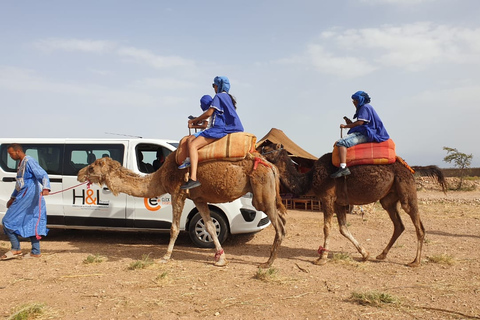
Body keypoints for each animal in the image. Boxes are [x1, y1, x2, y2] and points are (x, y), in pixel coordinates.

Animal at [75, 150, 284, 268]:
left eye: (92, 167)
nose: (79, 173)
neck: (160, 176)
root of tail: (271, 166)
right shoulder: (199, 198)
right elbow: (209, 227)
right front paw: (221, 259)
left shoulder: (178, 193)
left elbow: (174, 228)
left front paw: (165, 257)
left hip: (262, 193)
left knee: (280, 226)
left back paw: (268, 263)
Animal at [260, 144, 448, 266]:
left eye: (267, 148)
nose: (257, 151)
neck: (310, 176)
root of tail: (412, 168)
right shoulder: (340, 203)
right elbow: (343, 228)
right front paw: (365, 254)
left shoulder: (327, 198)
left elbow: (327, 227)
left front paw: (321, 258)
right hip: (388, 199)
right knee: (399, 225)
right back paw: (381, 255)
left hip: (406, 190)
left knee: (417, 223)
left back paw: (415, 261)